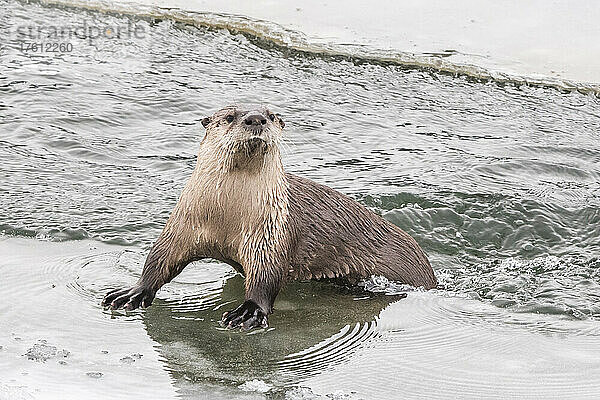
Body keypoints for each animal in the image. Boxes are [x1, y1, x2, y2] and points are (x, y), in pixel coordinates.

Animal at [103, 104, 438, 330]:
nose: (256, 119)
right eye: (230, 116)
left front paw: (248, 311)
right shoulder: (184, 223)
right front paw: (132, 292)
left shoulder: (270, 232)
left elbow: (266, 275)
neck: (227, 216)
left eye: (272, 115)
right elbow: (160, 258)